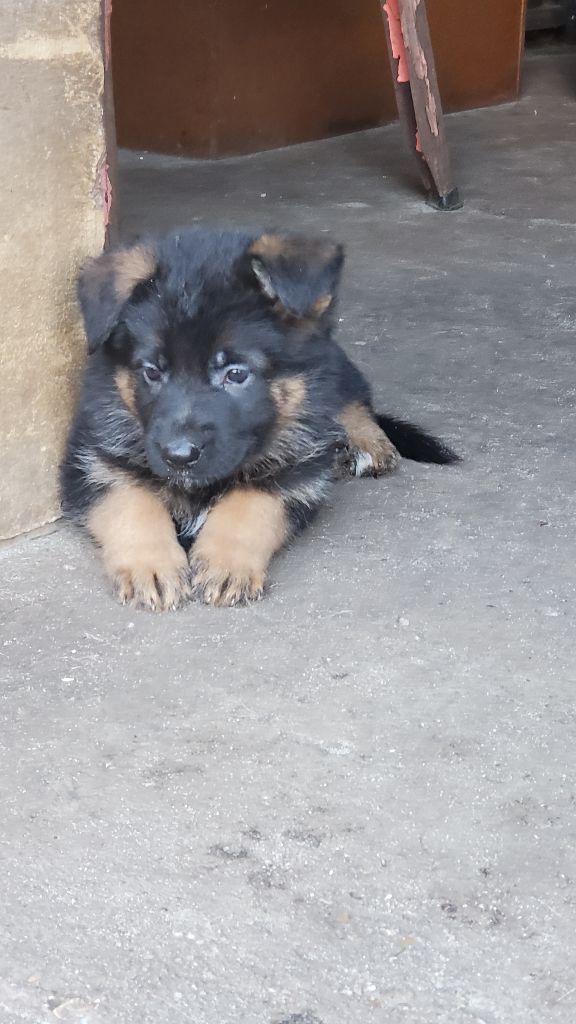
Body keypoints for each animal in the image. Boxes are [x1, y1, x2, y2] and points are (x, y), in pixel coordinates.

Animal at [61, 231, 457, 606]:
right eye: (152, 371)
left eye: (236, 374)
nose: (179, 457)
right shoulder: (90, 461)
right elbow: (132, 501)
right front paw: (151, 565)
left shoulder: (298, 471)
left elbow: (253, 501)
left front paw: (227, 561)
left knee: (353, 396)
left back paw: (369, 442)